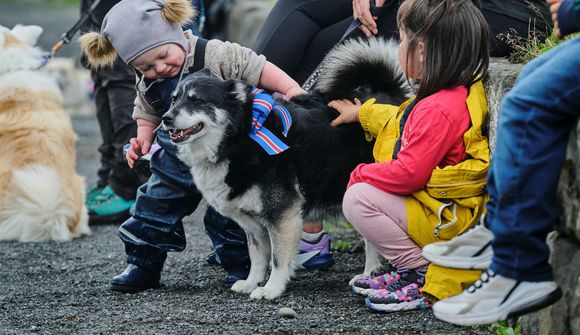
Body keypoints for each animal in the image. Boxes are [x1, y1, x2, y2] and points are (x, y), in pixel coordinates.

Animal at [161, 38, 410, 300]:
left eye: (197, 100)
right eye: (174, 99)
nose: (166, 118)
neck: (239, 137)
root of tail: (386, 96)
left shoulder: (283, 215)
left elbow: (278, 258)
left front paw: (272, 288)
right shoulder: (253, 223)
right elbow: (257, 258)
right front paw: (251, 282)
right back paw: (369, 273)